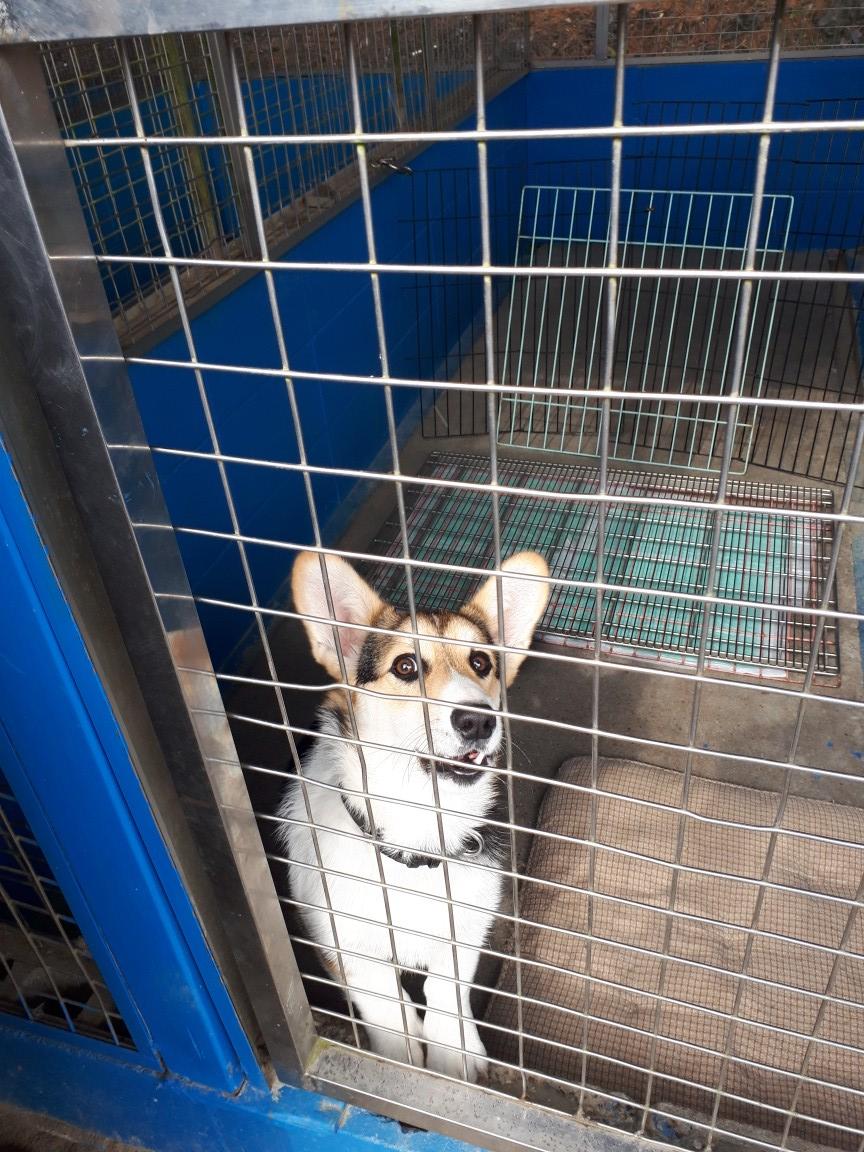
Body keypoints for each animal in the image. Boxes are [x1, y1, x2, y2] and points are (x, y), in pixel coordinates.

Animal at [279, 550, 550, 1081]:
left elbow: (445, 994)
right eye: (405, 666)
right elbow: (393, 1012)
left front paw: (456, 1055)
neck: (416, 828)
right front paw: (406, 1064)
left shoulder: (465, 930)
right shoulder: (348, 950)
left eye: (481, 662)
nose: (477, 720)